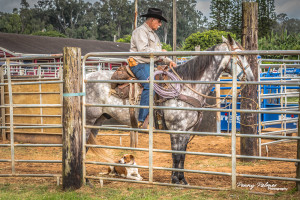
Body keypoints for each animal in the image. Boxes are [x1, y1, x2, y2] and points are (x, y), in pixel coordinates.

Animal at [85, 35, 254, 185]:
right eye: (241, 55)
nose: (252, 78)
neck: (186, 86)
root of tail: (86, 77)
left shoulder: (187, 130)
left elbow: (182, 155)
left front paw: (182, 179)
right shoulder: (176, 128)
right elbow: (176, 155)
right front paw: (174, 180)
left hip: (98, 121)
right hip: (89, 120)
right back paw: (85, 180)